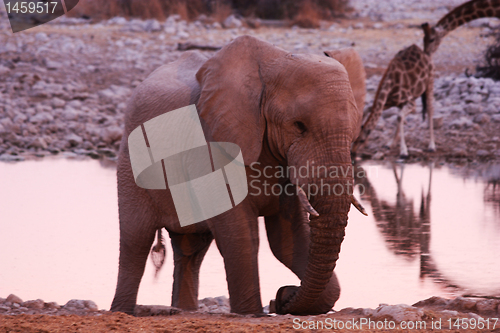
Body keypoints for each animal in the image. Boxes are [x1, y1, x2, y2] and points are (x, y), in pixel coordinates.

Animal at [110, 35, 364, 314]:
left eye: (354, 131)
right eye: (299, 126)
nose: (279, 297)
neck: (274, 63)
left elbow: (288, 240)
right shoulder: (213, 145)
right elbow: (241, 236)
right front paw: (252, 313)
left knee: (191, 248)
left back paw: (184, 310)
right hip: (130, 162)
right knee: (136, 241)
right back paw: (121, 311)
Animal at [352, 0, 500, 158]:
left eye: (362, 140)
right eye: (355, 139)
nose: (353, 154)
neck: (390, 82)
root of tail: (427, 56)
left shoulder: (410, 102)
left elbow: (400, 117)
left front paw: (404, 151)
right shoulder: (391, 102)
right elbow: (386, 114)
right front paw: (392, 144)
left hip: (430, 83)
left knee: (430, 110)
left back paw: (431, 146)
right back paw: (392, 143)